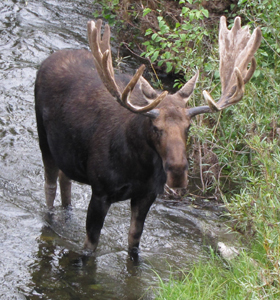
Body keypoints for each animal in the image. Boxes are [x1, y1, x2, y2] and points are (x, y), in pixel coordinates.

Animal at [35, 15, 262, 255]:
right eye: (155, 127)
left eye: (188, 127)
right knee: (49, 186)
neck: (138, 167)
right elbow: (90, 246)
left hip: (66, 150)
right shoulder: (100, 192)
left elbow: (134, 240)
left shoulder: (147, 195)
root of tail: (49, 58)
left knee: (64, 178)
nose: (177, 171)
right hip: (44, 140)